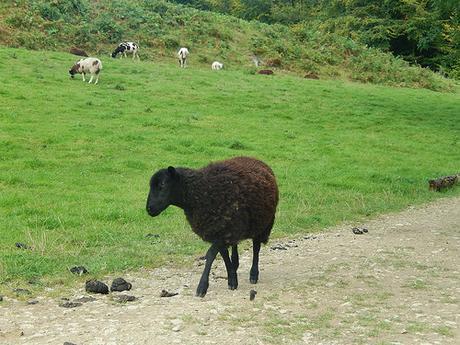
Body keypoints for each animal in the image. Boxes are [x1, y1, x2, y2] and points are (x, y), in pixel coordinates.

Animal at [146, 156, 278, 296]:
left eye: (162, 184)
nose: (149, 209)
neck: (199, 192)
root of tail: (255, 159)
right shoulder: (219, 230)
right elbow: (224, 255)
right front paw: (232, 279)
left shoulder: (222, 231)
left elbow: (210, 255)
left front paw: (202, 287)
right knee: (235, 246)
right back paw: (236, 264)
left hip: (262, 223)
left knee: (256, 248)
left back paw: (253, 274)